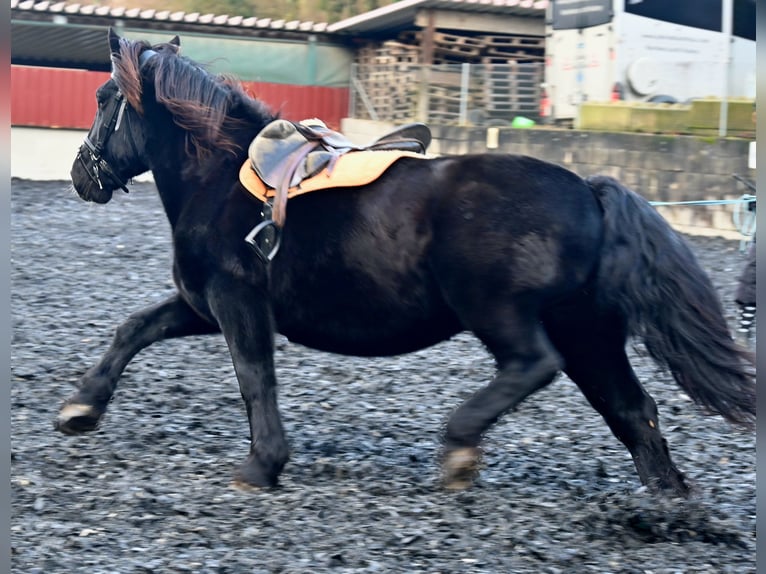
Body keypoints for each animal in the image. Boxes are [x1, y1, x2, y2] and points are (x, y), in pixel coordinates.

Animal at [60, 31, 756, 498]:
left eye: (102, 97)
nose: (79, 176)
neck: (222, 178)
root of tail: (588, 190)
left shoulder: (237, 303)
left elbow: (255, 378)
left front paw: (263, 464)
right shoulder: (203, 305)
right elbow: (134, 329)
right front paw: (80, 408)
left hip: (502, 313)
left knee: (535, 366)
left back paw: (460, 447)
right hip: (589, 329)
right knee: (631, 408)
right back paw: (671, 504)